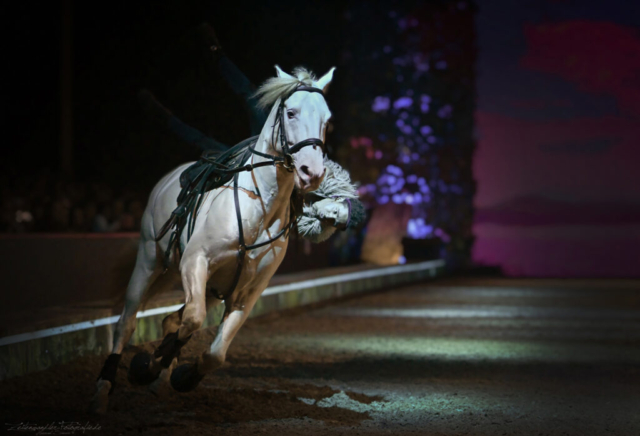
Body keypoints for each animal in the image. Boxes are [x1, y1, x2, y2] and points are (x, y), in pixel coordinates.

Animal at [90, 64, 336, 412]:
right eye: (291, 112)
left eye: (327, 120)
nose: (311, 172)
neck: (258, 208)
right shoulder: (196, 261)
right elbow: (192, 321)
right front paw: (147, 367)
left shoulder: (247, 292)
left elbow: (214, 353)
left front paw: (180, 376)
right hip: (150, 262)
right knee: (127, 322)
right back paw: (103, 388)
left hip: (205, 285)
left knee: (170, 321)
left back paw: (160, 379)